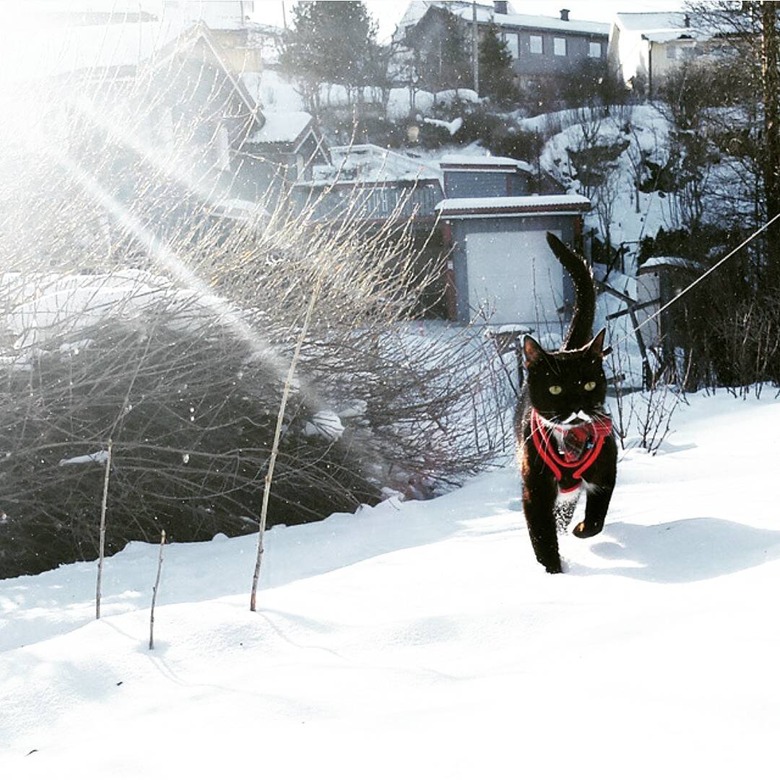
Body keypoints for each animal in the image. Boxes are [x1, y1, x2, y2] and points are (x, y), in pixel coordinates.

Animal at [516, 232, 620, 572]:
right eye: (556, 389)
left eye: (588, 384)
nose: (576, 407)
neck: (570, 441)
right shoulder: (534, 488)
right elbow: (541, 532)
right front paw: (552, 572)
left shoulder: (606, 469)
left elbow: (597, 516)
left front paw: (581, 530)